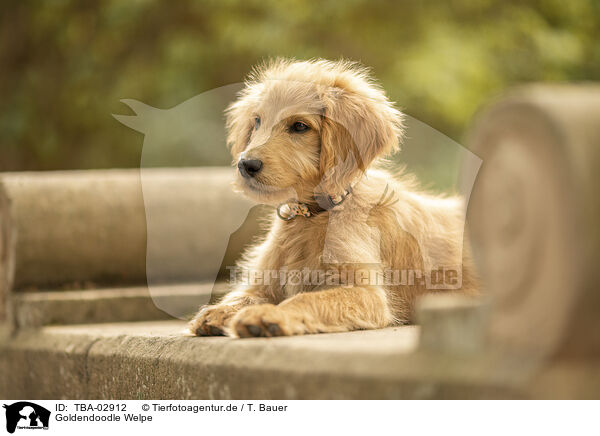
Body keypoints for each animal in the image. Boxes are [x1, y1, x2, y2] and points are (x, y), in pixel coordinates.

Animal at [188, 58, 478, 338]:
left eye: (300, 126)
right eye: (257, 121)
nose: (245, 165)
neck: (312, 216)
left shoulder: (368, 294)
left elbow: (306, 299)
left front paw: (268, 315)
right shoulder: (265, 281)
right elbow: (245, 295)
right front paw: (219, 311)